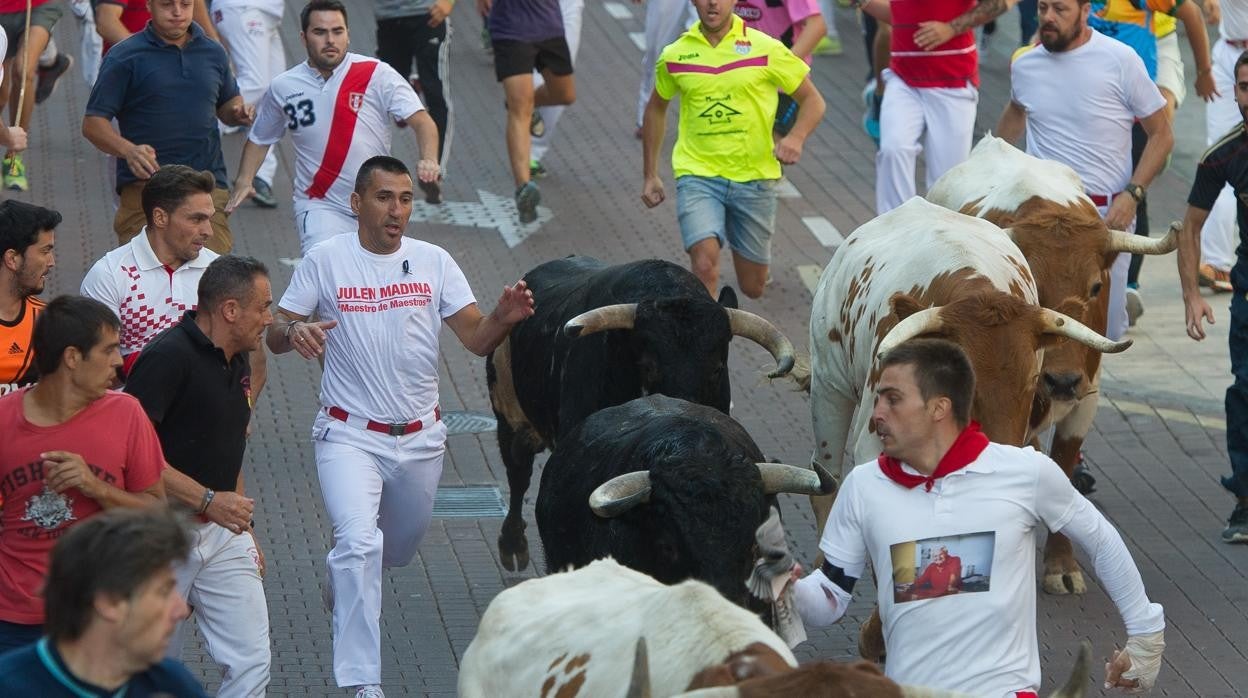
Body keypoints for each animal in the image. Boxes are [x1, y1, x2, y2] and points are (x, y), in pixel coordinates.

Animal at [486, 258, 798, 574]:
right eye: (648, 366)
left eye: (717, 368)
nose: (684, 408)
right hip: (510, 417)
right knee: (518, 474)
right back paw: (512, 545)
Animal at [928, 135, 1178, 594]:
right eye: (1035, 287)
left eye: (1096, 286)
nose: (1061, 380)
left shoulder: (1087, 396)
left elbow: (1062, 467)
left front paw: (1061, 564)